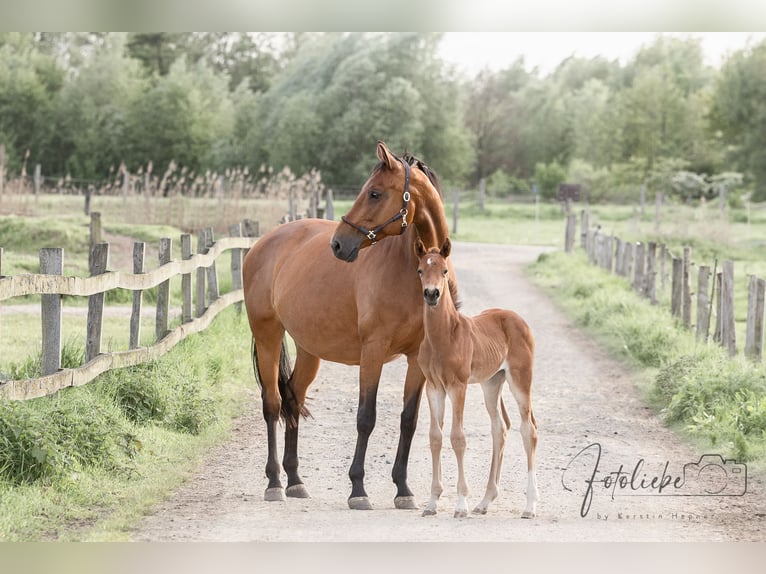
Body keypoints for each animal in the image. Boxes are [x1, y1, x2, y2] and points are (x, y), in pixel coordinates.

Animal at [242, 141, 454, 510]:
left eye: (375, 193)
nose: (339, 244)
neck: (412, 270)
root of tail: (262, 244)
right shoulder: (373, 351)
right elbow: (366, 417)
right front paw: (358, 488)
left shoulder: (418, 358)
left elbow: (408, 420)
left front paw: (403, 489)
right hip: (267, 335)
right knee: (272, 404)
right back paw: (274, 483)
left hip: (309, 349)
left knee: (293, 398)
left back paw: (295, 481)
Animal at [413, 237, 539, 518]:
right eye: (420, 270)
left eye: (444, 271)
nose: (432, 294)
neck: (444, 336)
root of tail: (519, 319)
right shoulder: (434, 388)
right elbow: (435, 437)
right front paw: (431, 503)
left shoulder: (457, 386)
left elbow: (457, 438)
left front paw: (461, 504)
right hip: (491, 383)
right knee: (500, 428)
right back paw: (485, 501)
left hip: (520, 380)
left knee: (529, 430)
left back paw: (530, 506)